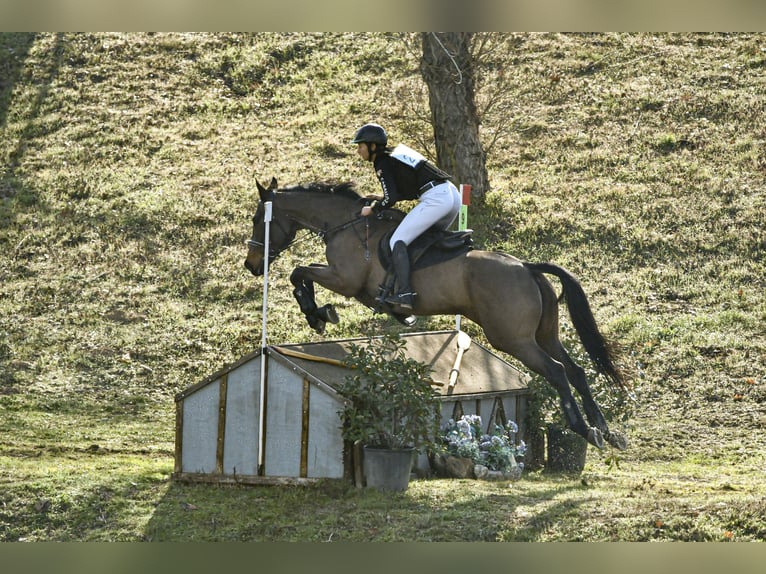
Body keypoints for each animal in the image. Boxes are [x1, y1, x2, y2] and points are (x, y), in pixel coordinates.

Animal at [246, 178, 632, 452]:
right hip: (543, 334)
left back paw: (585, 430)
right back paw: (606, 430)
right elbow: (301, 272)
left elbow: (298, 272)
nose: (251, 265)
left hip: (513, 339)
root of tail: (526, 266)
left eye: (258, 219)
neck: (344, 224)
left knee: (556, 371)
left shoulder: (345, 279)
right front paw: (325, 312)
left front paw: (317, 313)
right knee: (576, 370)